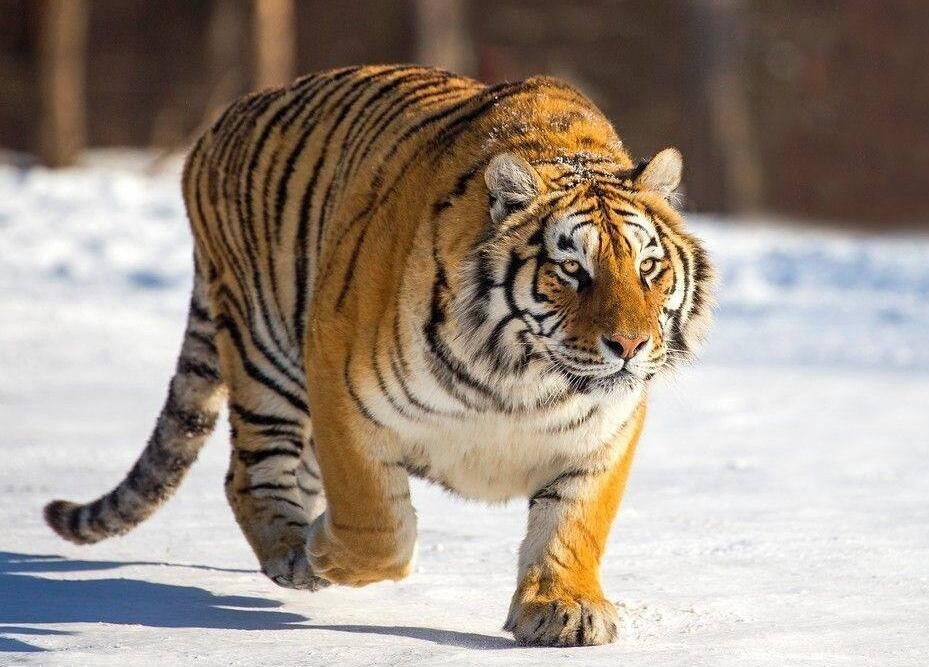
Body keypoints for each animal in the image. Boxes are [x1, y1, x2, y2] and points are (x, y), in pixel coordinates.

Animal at [43, 65, 713, 647]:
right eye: (572, 269)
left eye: (648, 268)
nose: (630, 346)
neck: (523, 379)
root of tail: (218, 125)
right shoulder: (341, 387)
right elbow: (378, 526)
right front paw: (324, 553)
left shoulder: (603, 434)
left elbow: (572, 525)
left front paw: (562, 610)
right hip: (265, 354)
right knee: (248, 474)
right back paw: (293, 553)